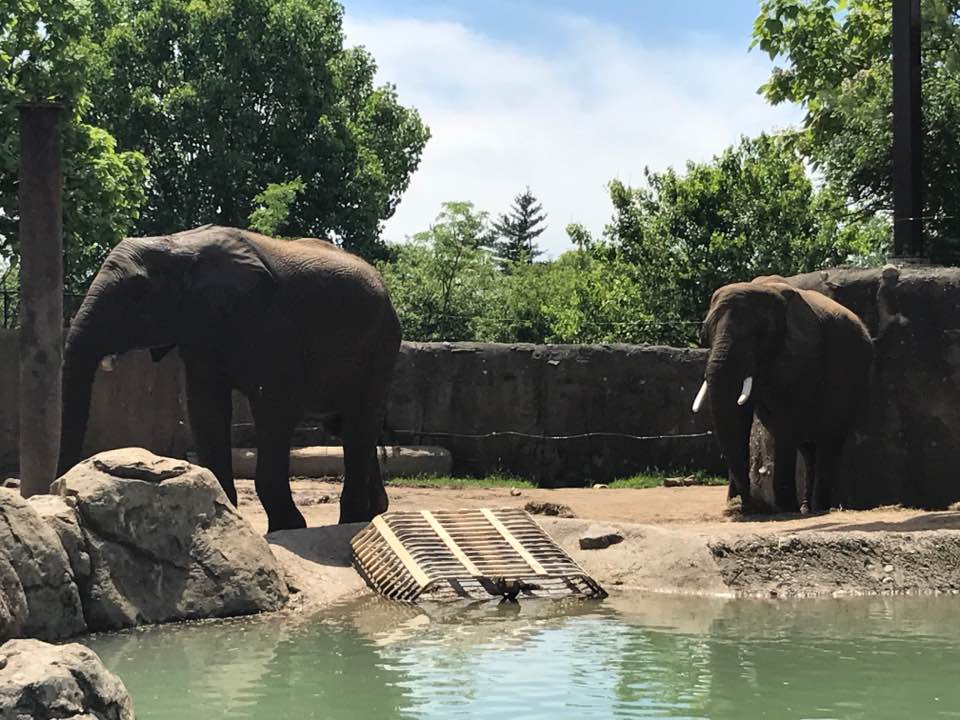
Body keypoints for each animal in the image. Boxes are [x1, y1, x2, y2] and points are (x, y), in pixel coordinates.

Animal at [58, 225, 401, 532]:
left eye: (138, 296)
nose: (62, 492)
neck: (179, 244)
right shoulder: (200, 332)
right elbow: (206, 411)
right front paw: (224, 513)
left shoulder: (276, 328)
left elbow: (274, 411)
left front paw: (288, 528)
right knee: (346, 427)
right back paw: (373, 513)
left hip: (382, 345)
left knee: (359, 425)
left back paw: (351, 521)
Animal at [691, 275, 873, 514]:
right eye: (705, 336)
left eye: (758, 336)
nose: (745, 505)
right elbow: (741, 415)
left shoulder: (800, 356)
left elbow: (785, 425)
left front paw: (784, 508)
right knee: (809, 449)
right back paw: (806, 508)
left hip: (852, 378)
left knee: (828, 442)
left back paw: (818, 508)